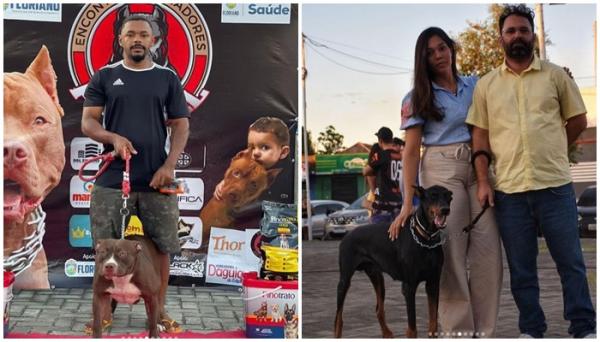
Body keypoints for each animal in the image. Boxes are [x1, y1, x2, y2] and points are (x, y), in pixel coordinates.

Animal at [336, 184, 452, 336]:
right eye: (433, 196)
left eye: (448, 197)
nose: (445, 209)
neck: (426, 239)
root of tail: (347, 235)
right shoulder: (409, 286)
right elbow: (412, 328)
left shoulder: (433, 283)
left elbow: (433, 325)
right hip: (345, 280)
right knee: (338, 318)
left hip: (378, 278)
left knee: (379, 310)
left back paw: (387, 334)